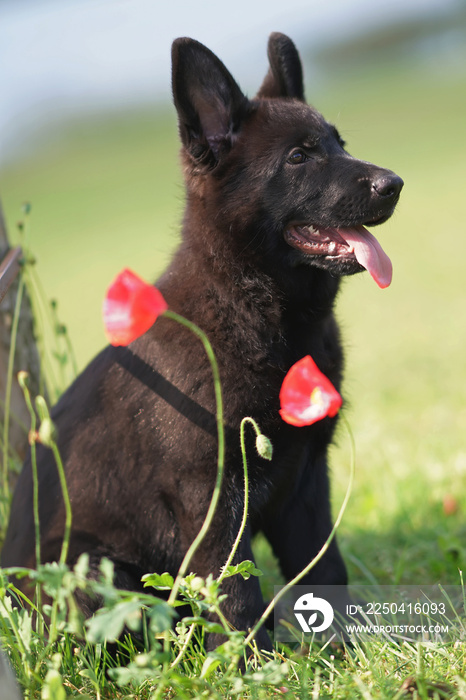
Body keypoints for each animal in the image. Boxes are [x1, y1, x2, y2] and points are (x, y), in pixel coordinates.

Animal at [1, 34, 402, 652]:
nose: (395, 184)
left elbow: (325, 569)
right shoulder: (211, 498)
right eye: (299, 157)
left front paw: (348, 649)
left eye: (341, 144)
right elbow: (235, 596)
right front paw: (255, 666)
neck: (250, 309)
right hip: (94, 572)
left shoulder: (306, 484)